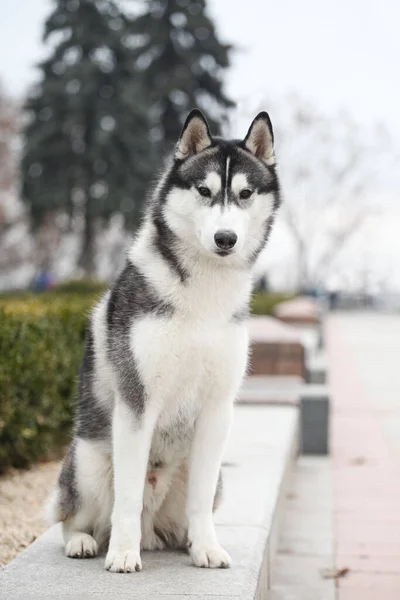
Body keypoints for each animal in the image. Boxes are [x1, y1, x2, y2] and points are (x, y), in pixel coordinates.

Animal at [48, 108, 282, 572]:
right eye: (204, 191)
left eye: (245, 194)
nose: (225, 239)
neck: (203, 295)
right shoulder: (138, 403)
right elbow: (126, 497)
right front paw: (123, 553)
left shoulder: (217, 409)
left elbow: (200, 501)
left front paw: (206, 548)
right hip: (86, 462)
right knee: (76, 515)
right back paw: (84, 541)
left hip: (214, 478)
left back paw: (176, 540)